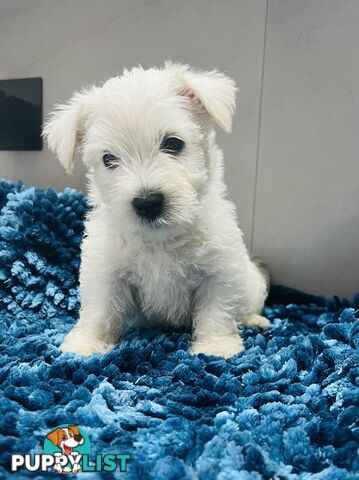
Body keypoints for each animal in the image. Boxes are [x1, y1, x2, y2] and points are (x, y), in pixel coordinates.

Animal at [44, 62, 270, 356]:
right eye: (108, 159)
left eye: (173, 143)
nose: (147, 202)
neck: (160, 240)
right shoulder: (107, 273)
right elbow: (100, 312)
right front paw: (85, 344)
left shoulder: (219, 270)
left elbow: (216, 313)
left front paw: (215, 347)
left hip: (251, 283)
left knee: (247, 306)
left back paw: (256, 320)